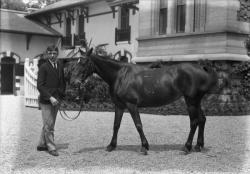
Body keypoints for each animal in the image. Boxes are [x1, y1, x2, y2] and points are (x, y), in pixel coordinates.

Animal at [69, 48, 217, 155]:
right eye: (76, 62)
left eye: (83, 63)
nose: (74, 82)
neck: (120, 75)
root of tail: (201, 68)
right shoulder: (119, 106)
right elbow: (116, 125)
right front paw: (111, 146)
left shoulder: (131, 105)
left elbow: (138, 125)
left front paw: (144, 147)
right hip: (196, 101)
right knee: (202, 119)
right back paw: (198, 146)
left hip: (191, 101)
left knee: (194, 122)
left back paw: (187, 147)